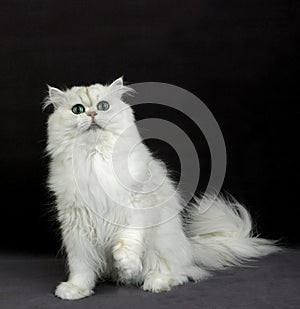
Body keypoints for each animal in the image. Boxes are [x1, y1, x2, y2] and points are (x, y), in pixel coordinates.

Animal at [44, 76, 278, 298]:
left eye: (103, 106)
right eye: (77, 110)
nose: (92, 114)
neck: (94, 159)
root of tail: (189, 248)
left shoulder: (137, 204)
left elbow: (129, 239)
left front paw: (126, 264)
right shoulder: (76, 225)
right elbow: (81, 266)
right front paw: (76, 290)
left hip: (160, 246)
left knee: (179, 273)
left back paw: (155, 282)